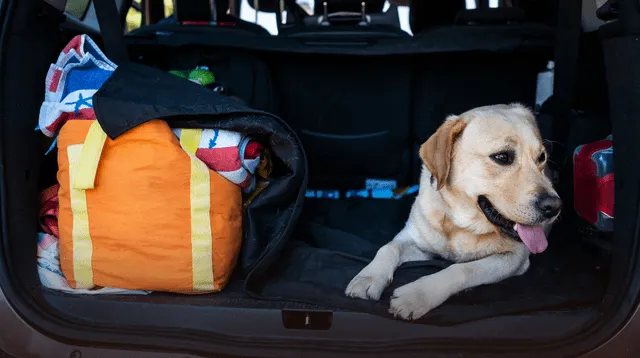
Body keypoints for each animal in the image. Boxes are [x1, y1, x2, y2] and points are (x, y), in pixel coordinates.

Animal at [344, 103, 560, 318]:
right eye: (502, 157)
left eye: (542, 157)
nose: (554, 207)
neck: (460, 224)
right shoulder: (415, 241)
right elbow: (388, 248)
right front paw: (369, 277)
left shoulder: (514, 258)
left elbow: (463, 269)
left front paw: (417, 295)